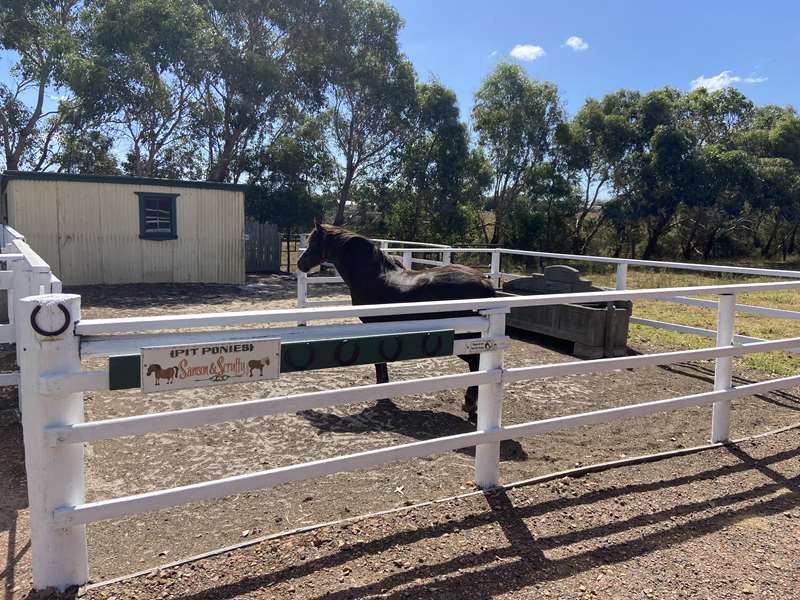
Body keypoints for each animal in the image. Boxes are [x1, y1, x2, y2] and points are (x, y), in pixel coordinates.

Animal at [296, 223, 494, 420]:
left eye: (314, 242)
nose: (300, 263)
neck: (372, 276)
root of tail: (484, 282)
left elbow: (378, 360)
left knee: (475, 362)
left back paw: (469, 404)